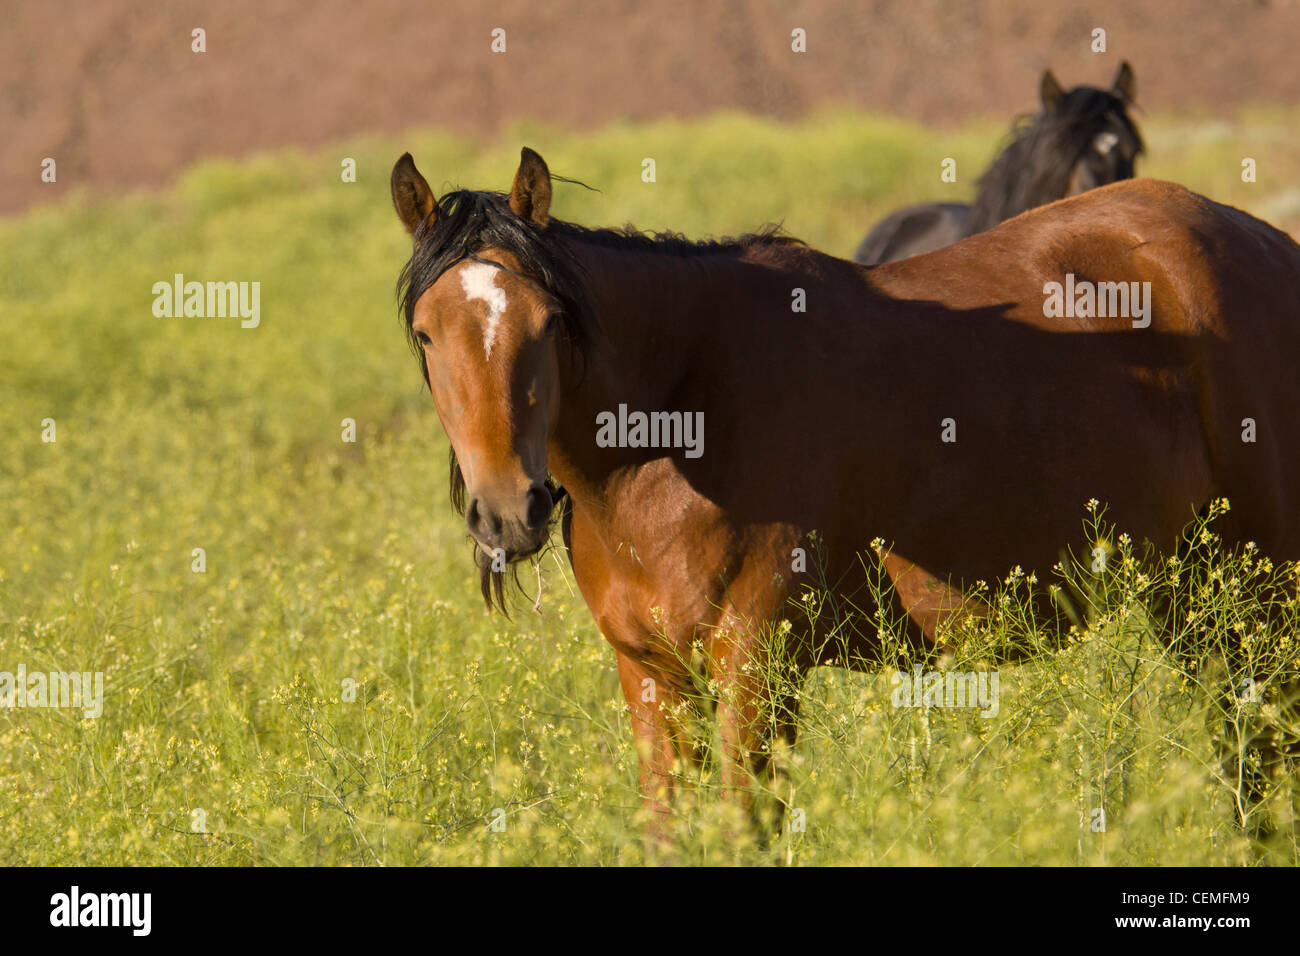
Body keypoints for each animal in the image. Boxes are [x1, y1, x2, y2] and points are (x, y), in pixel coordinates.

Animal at [390, 147, 1300, 842]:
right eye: (426, 334)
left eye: (548, 324)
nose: (510, 512)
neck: (677, 422)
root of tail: (1265, 245)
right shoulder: (651, 675)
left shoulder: (758, 666)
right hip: (1192, 597)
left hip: (1258, 599)